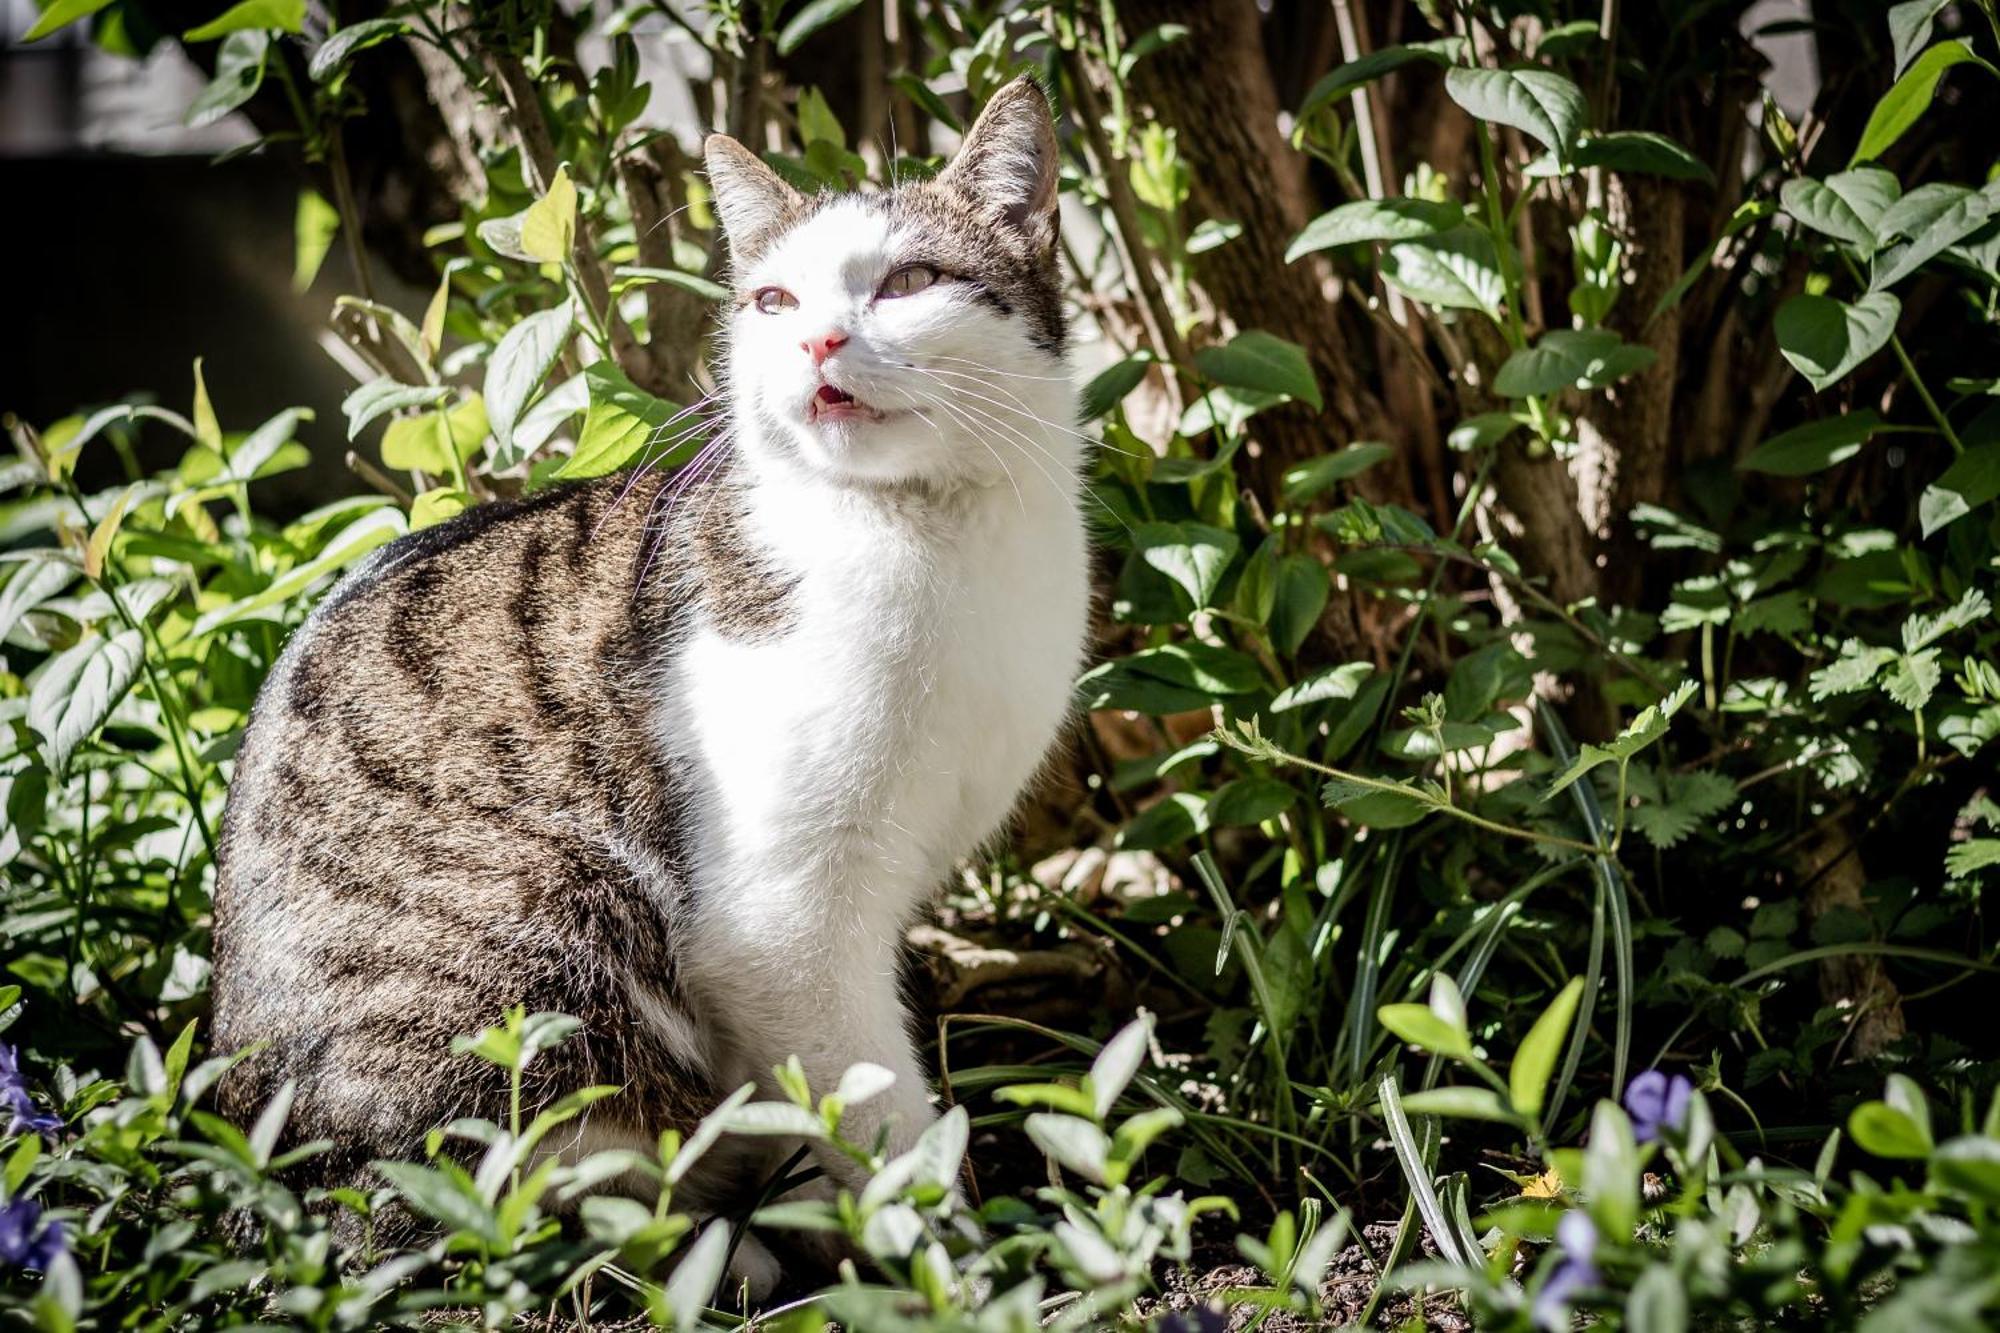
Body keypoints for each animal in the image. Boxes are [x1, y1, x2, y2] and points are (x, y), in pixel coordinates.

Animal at [215, 75, 1096, 1288]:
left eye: (912, 281)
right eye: (772, 299)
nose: (818, 336)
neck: (937, 537)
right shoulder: (781, 924)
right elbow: (874, 1111)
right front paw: (946, 1266)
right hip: (540, 940)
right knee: (471, 1220)